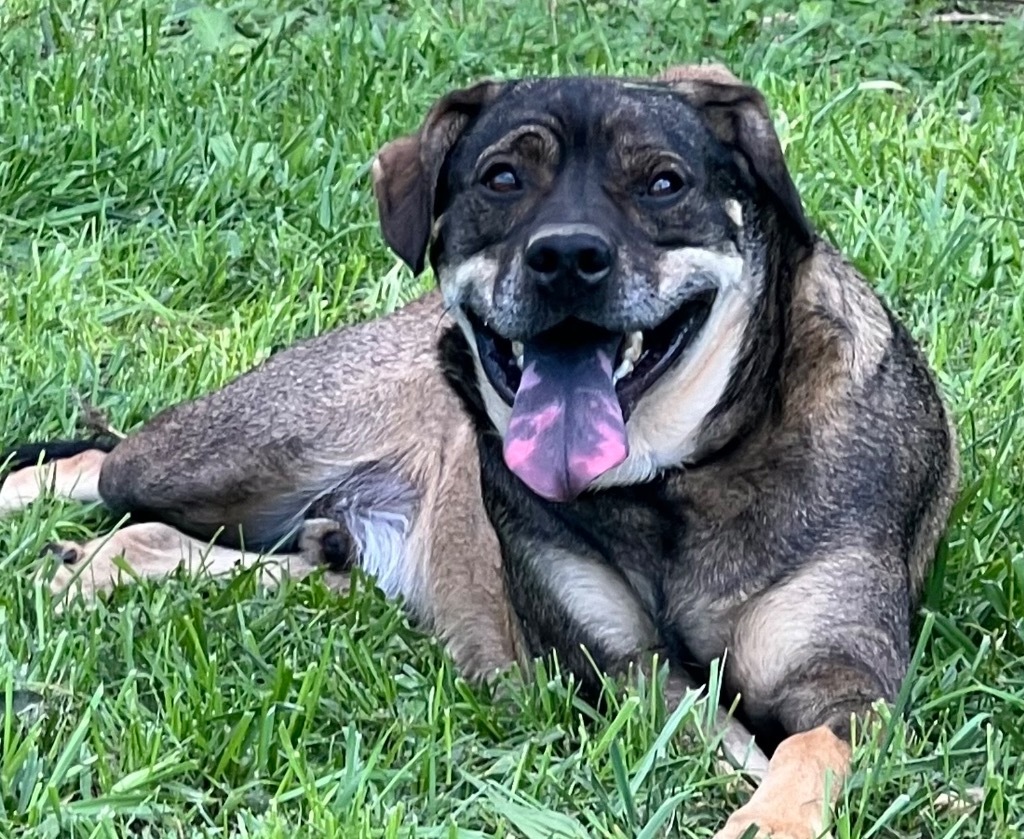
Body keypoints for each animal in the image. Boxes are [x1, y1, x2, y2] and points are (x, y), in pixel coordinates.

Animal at [2, 65, 958, 839]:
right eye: (502, 178)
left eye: (663, 181)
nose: (567, 256)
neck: (673, 483)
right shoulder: (627, 671)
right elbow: (719, 741)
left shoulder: (844, 680)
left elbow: (805, 751)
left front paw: (802, 813)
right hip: (233, 448)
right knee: (104, 469)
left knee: (191, 540)